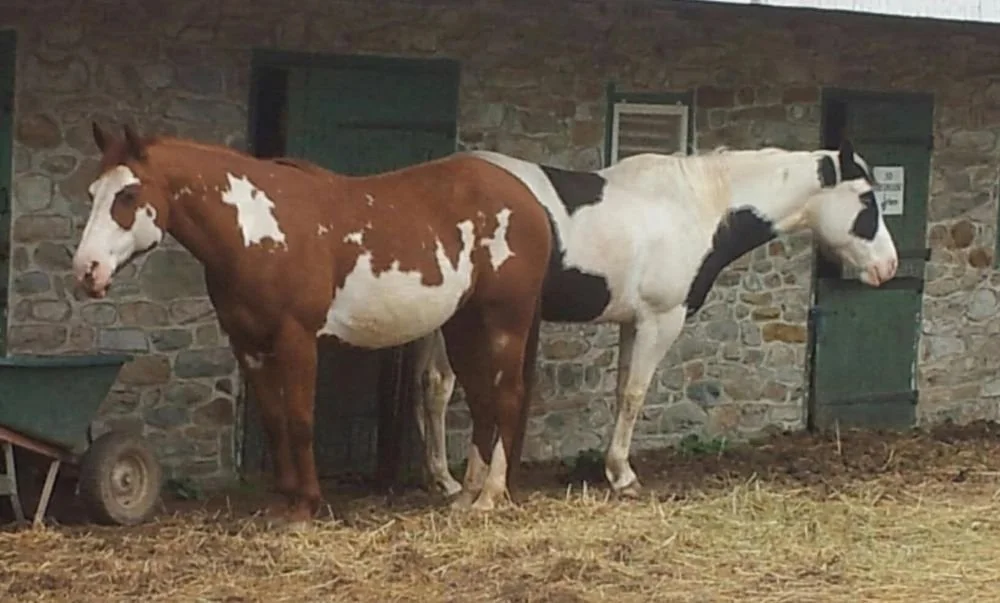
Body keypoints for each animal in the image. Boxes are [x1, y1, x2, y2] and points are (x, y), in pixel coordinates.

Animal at [70, 123, 554, 524]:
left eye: (128, 195)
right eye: (92, 193)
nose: (86, 271)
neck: (257, 230)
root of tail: (530, 201)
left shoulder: (296, 337)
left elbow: (301, 419)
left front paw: (307, 505)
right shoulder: (249, 343)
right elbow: (274, 419)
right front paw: (285, 501)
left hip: (505, 320)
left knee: (508, 397)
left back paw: (490, 495)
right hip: (463, 325)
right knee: (483, 402)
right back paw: (467, 495)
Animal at [411, 139, 899, 500]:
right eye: (867, 200)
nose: (889, 266)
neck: (697, 209)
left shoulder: (633, 322)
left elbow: (621, 391)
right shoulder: (660, 320)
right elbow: (634, 394)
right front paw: (622, 475)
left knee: (436, 387)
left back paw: (444, 479)